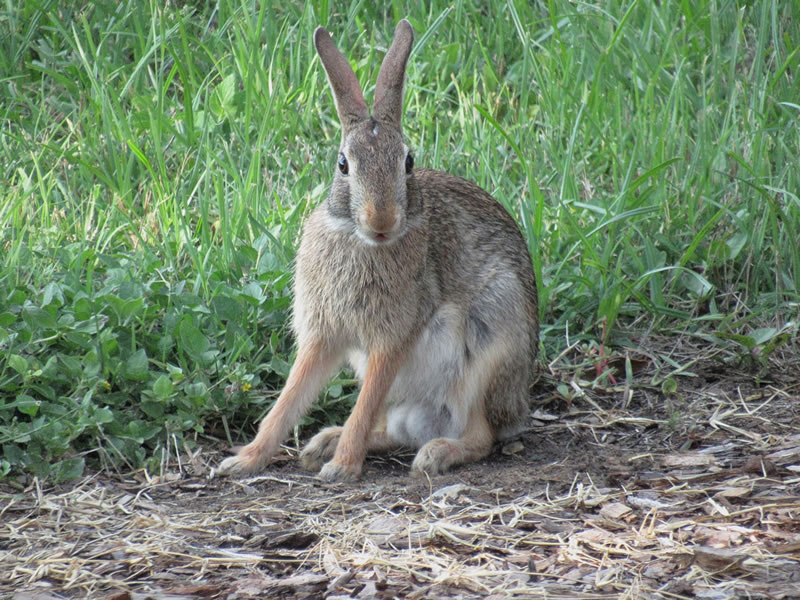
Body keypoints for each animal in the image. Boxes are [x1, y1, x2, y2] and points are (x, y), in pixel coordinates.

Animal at [215, 19, 538, 482]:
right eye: (343, 164)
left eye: (408, 162)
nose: (381, 221)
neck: (359, 242)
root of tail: (518, 409)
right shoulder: (323, 335)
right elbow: (289, 400)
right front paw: (244, 460)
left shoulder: (392, 338)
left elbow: (362, 406)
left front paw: (342, 469)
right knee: (392, 430)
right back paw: (324, 443)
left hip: (490, 343)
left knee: (480, 436)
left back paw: (435, 454)